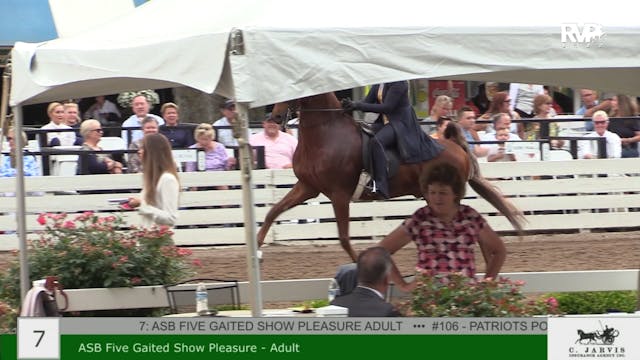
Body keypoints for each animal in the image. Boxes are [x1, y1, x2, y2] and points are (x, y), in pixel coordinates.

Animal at [258, 92, 524, 262]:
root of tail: (454, 144)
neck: (327, 134)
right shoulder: (307, 187)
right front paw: (257, 250)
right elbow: (273, 212)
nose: (275, 119)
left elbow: (344, 238)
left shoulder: (339, 194)